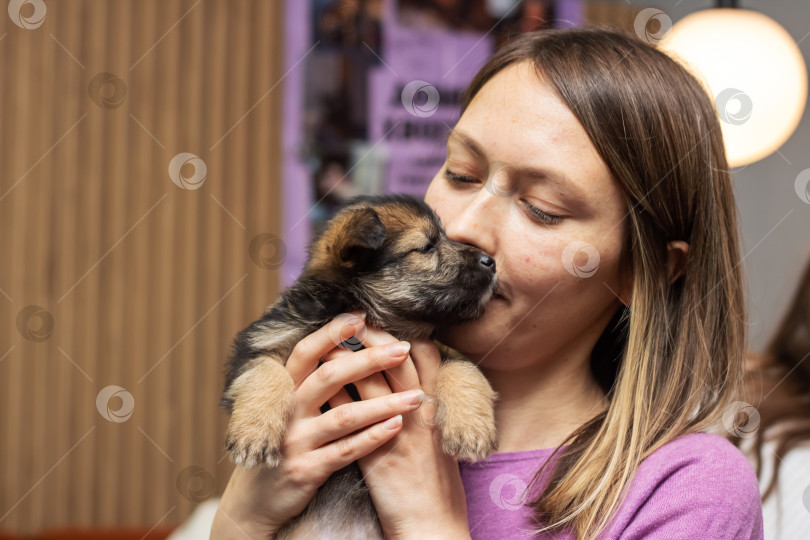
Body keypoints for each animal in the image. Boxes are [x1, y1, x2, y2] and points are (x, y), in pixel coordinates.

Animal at [221, 193, 498, 536]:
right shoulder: (262, 341)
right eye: (427, 246)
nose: (492, 262)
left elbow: (463, 369)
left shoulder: (440, 350)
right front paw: (255, 432)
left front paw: (471, 428)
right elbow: (266, 375)